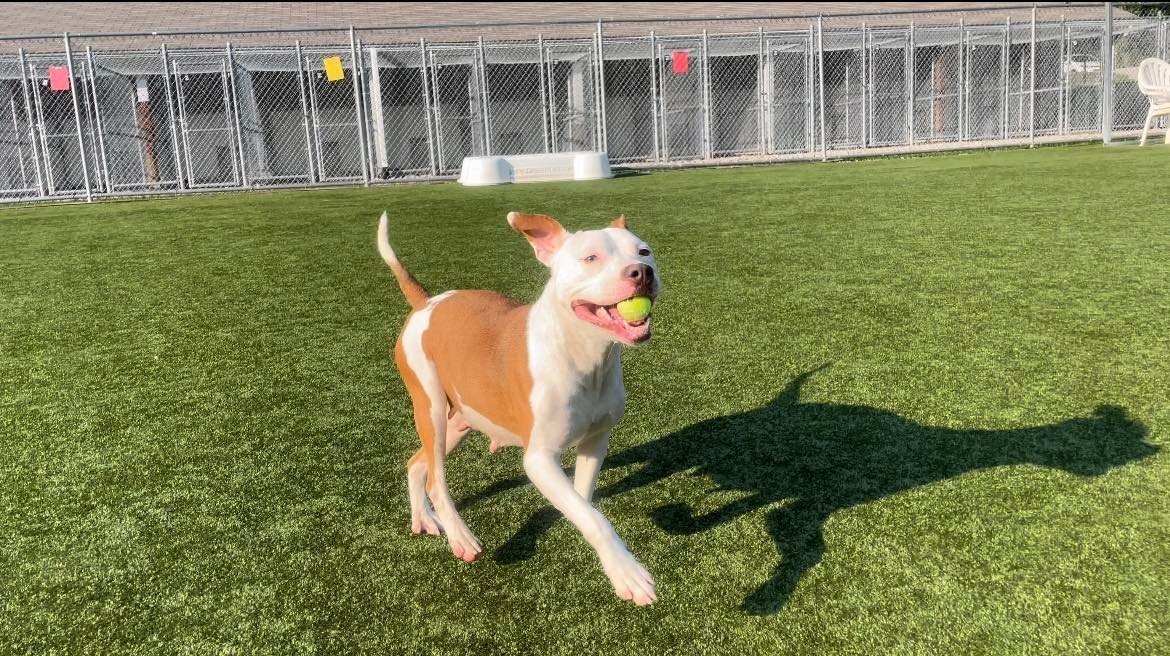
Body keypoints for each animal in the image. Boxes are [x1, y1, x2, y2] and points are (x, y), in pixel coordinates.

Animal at [379, 209, 664, 603]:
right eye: (591, 258)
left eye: (644, 251)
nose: (641, 272)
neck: (587, 356)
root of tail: (426, 303)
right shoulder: (540, 458)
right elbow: (596, 519)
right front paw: (628, 573)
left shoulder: (596, 441)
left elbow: (583, 502)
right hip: (431, 408)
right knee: (437, 479)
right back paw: (460, 536)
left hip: (459, 420)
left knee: (417, 463)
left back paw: (422, 518)